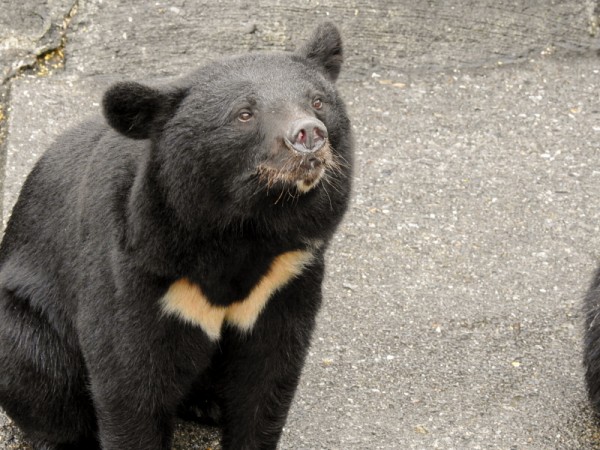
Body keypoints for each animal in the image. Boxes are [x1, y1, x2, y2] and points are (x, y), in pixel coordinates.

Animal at [0, 22, 354, 450]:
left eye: (317, 101)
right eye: (244, 114)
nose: (308, 135)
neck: (243, 228)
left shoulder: (286, 276)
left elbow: (268, 377)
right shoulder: (133, 267)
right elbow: (129, 379)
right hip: (25, 323)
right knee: (41, 377)